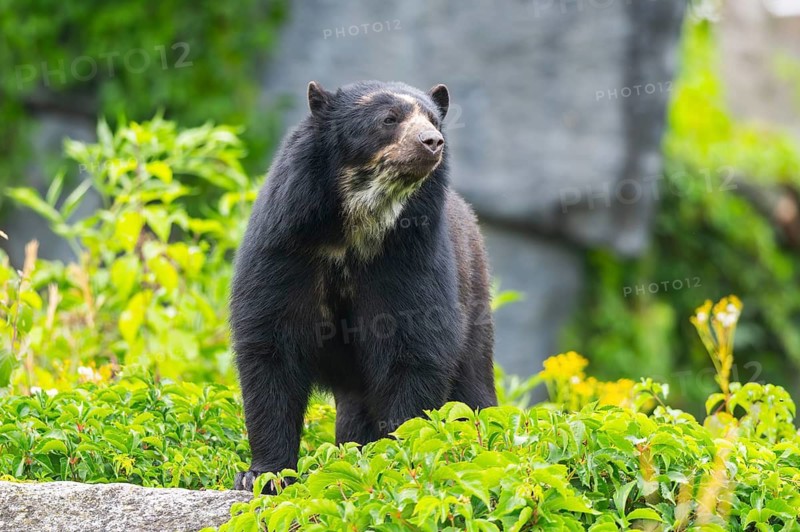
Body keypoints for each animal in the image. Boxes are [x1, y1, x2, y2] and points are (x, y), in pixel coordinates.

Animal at [230, 80, 497, 493]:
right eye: (388, 119)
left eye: (434, 120)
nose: (432, 142)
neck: (356, 224)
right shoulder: (284, 248)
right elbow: (270, 347)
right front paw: (263, 475)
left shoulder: (410, 259)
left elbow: (415, 349)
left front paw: (398, 455)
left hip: (474, 299)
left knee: (472, 385)